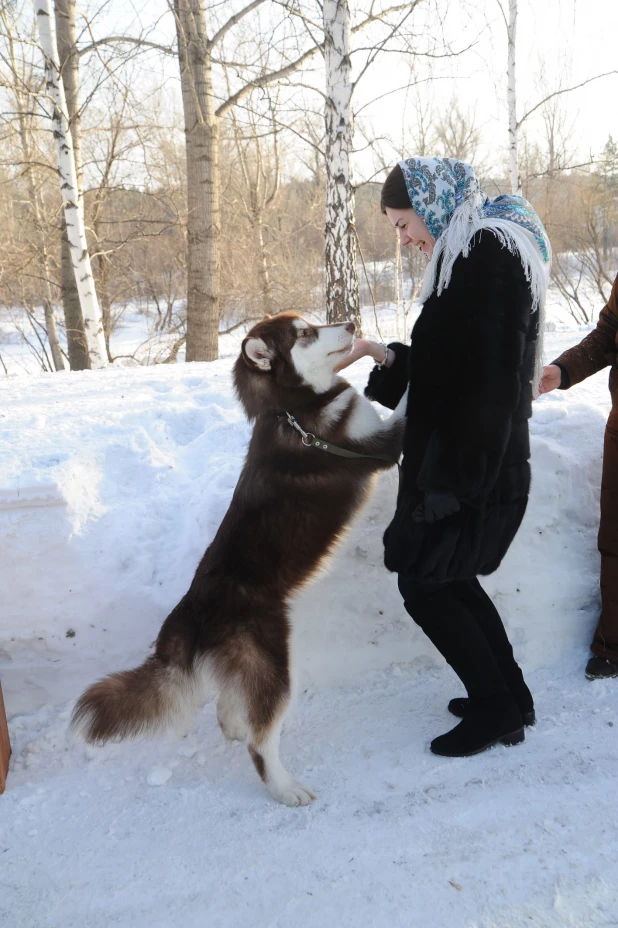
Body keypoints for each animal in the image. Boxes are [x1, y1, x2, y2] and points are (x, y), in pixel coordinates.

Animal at [71, 314, 404, 804]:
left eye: (312, 322)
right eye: (304, 333)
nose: (349, 322)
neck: (289, 411)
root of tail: (190, 611)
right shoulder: (377, 446)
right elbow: (407, 411)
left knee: (233, 710)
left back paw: (234, 726)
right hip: (272, 664)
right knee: (260, 743)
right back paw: (285, 787)